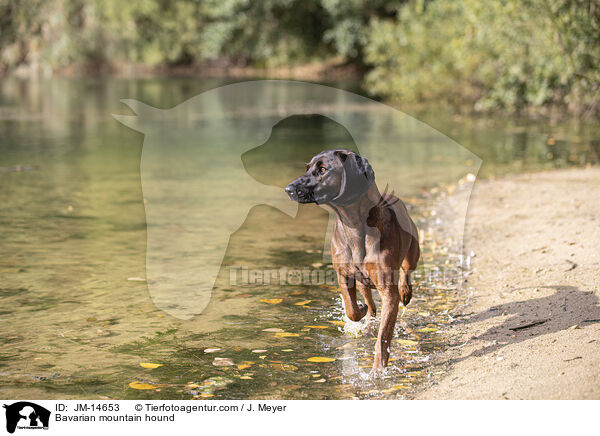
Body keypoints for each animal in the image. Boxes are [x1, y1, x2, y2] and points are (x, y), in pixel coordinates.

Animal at [284, 148, 418, 370]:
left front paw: (378, 369)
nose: (288, 189)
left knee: (407, 271)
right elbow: (351, 310)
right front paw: (360, 311)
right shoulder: (344, 275)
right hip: (363, 282)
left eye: (323, 169)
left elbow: (384, 335)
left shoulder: (389, 291)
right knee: (371, 304)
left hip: (413, 251)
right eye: (307, 168)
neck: (353, 224)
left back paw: (405, 291)